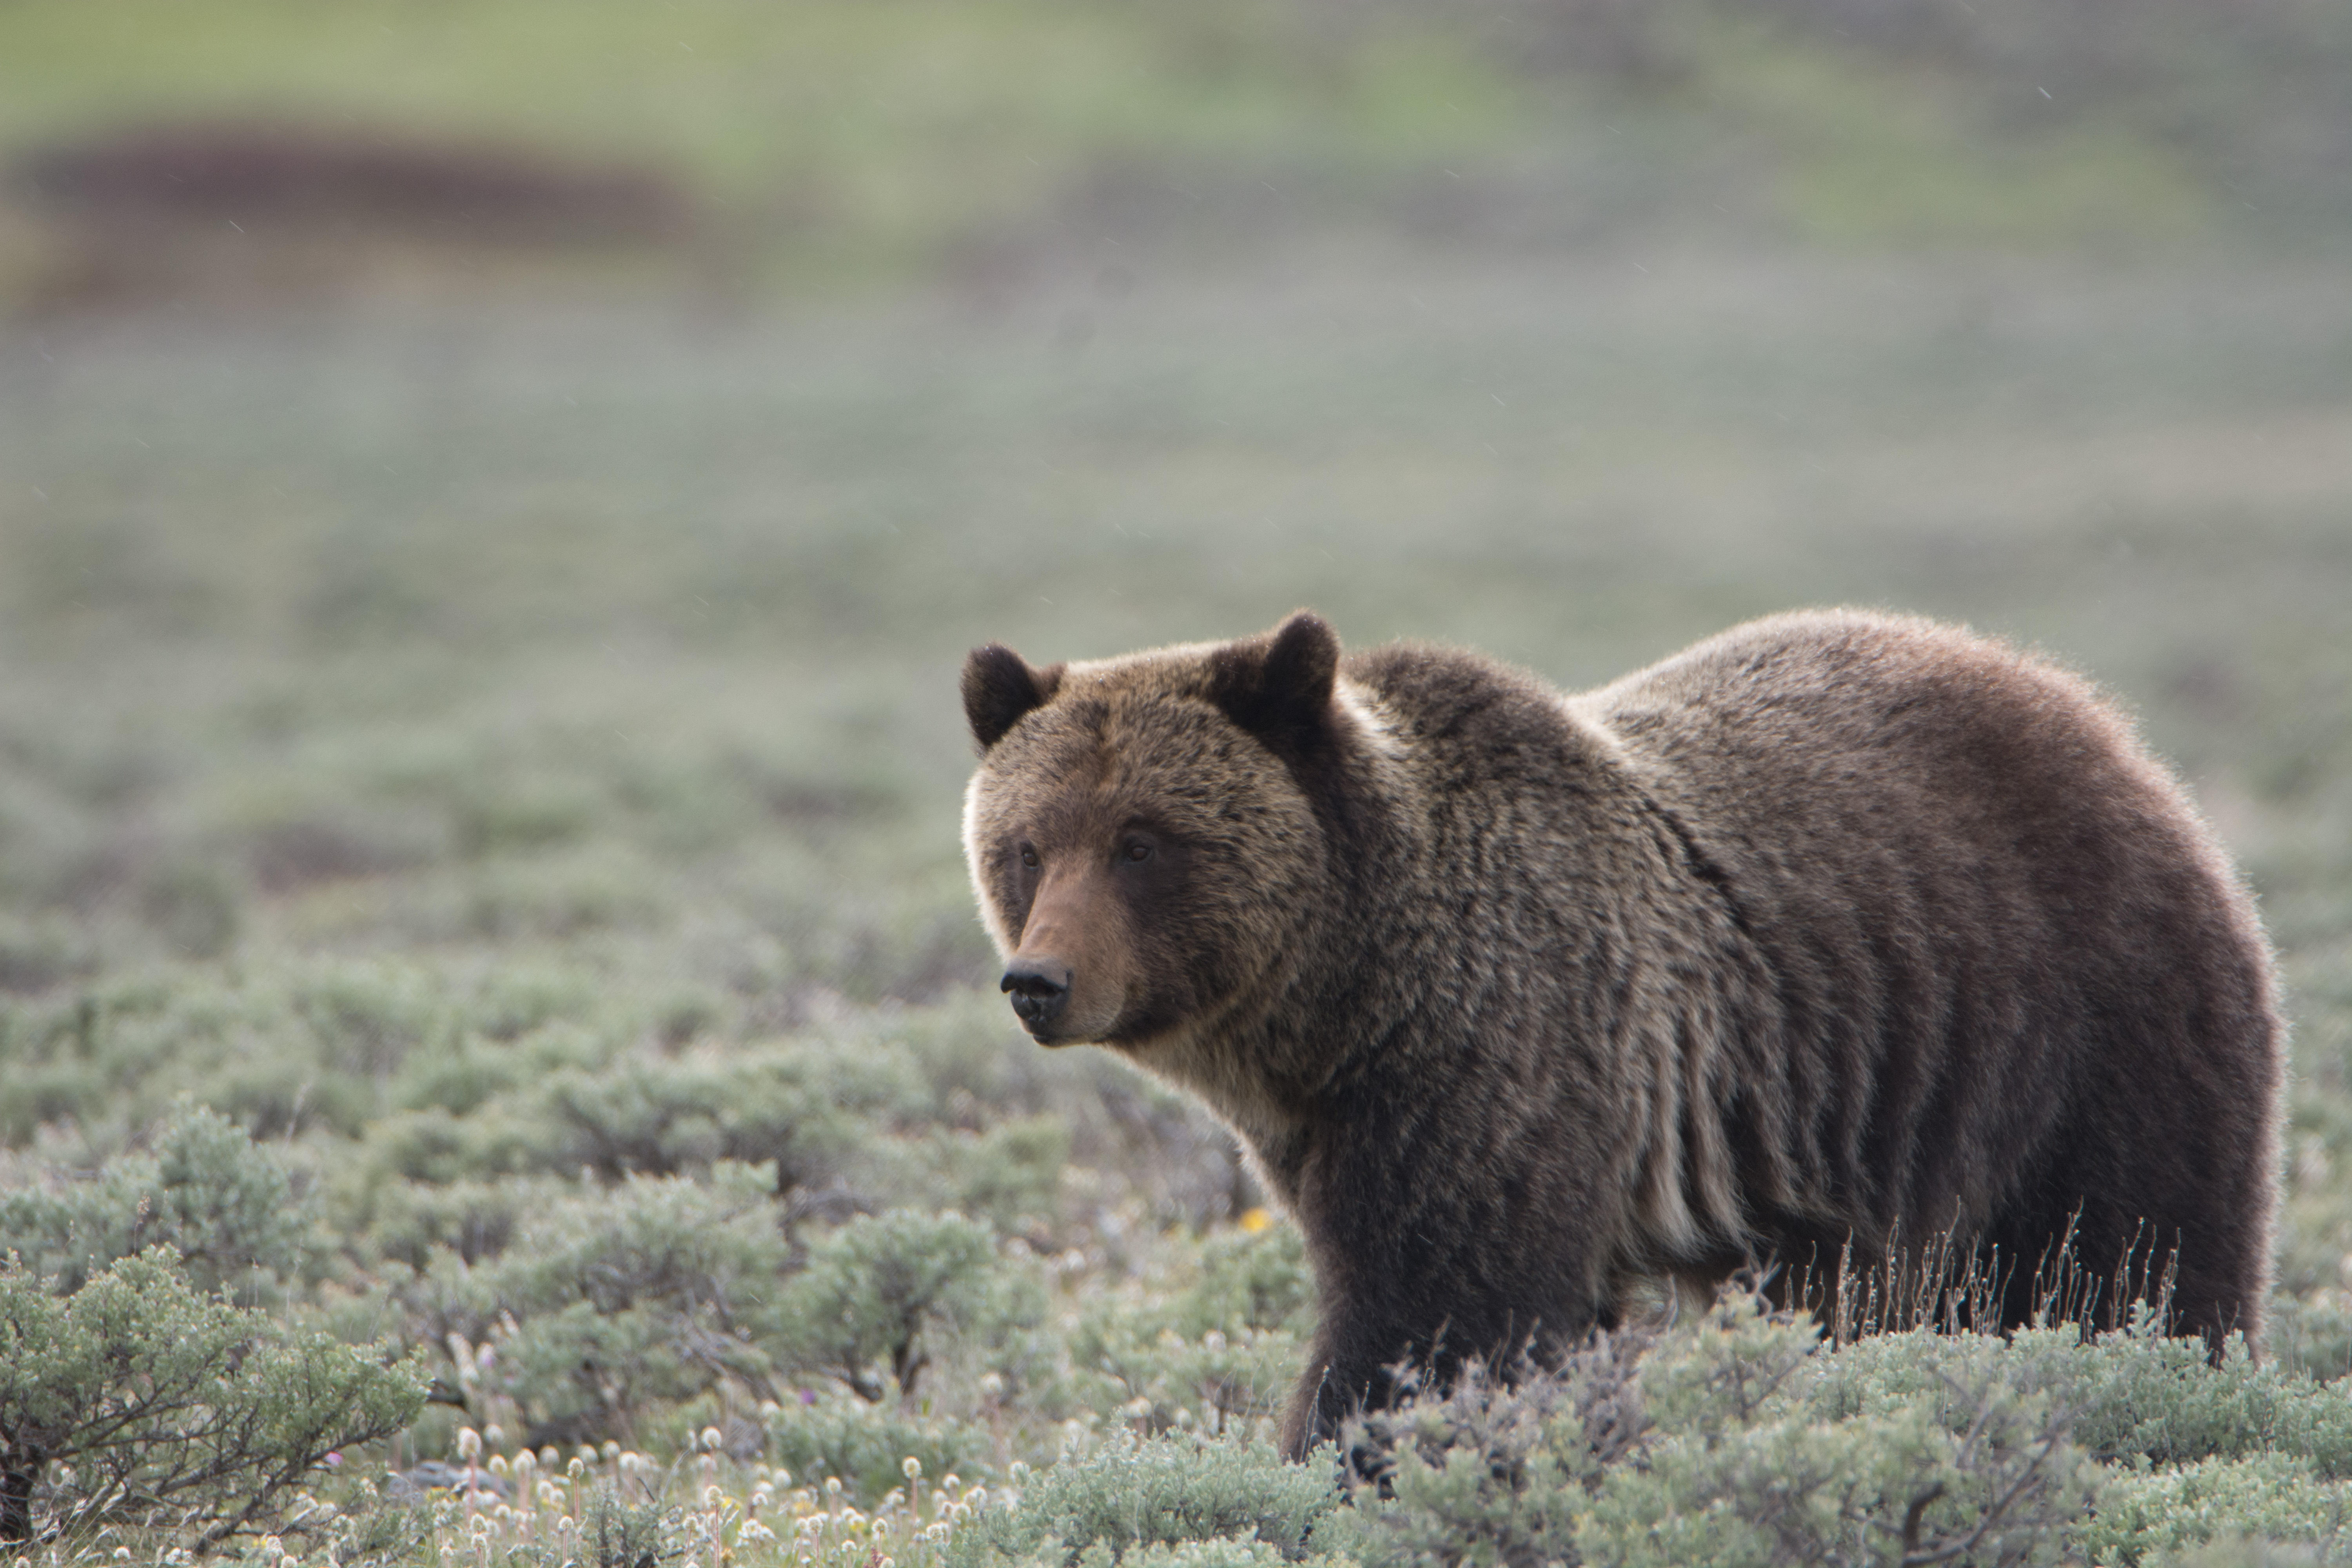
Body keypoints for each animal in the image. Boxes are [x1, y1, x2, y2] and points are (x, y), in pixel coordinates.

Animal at [958, 608, 2283, 1458]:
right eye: (1025, 845)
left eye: (1142, 840)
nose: (1038, 980)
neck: (1347, 995)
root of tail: (2106, 727)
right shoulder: (1329, 1123)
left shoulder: (1503, 1055)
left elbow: (1435, 1320)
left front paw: (1342, 1461)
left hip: (2087, 1014)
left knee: (2134, 1254)